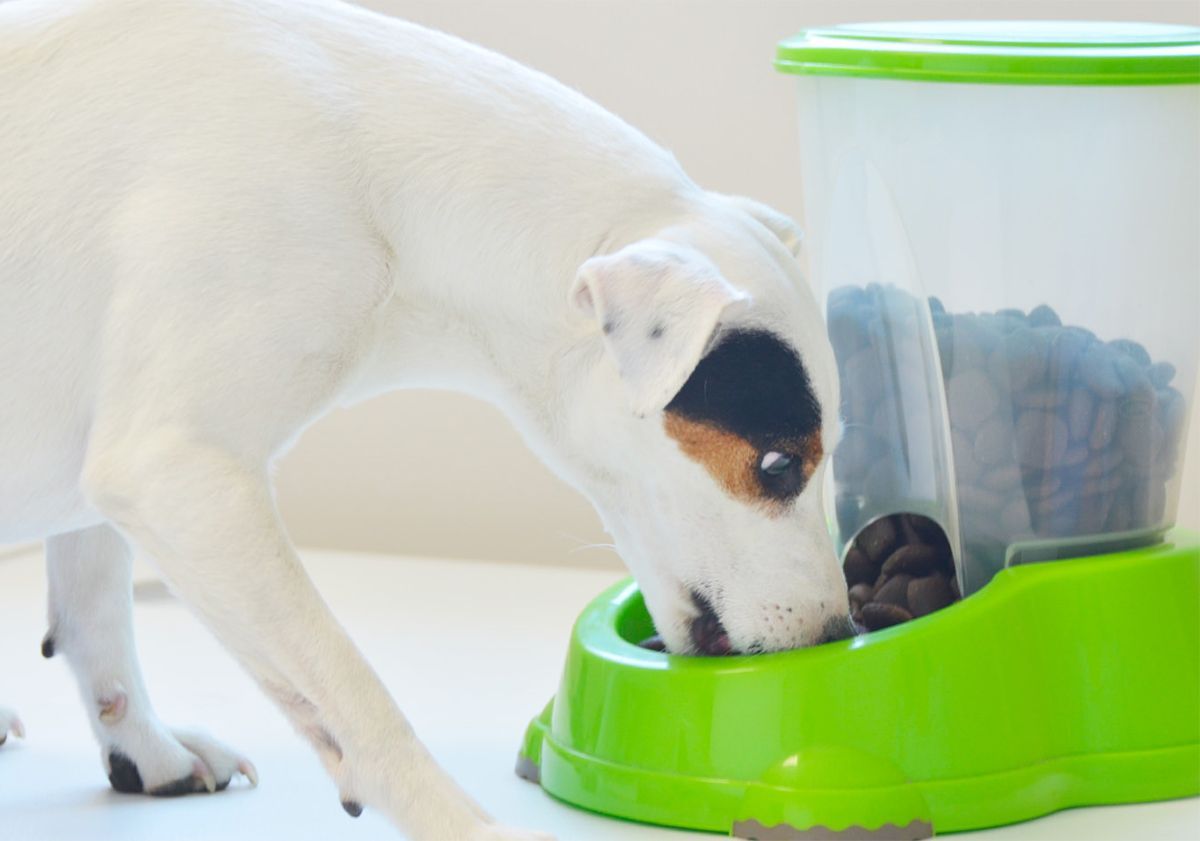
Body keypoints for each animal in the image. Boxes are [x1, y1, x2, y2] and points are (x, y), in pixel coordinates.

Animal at [0, 0, 849, 835]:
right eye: (778, 465)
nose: (839, 633)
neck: (382, 185)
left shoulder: (117, 472)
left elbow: (94, 611)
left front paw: (146, 749)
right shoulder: (182, 474)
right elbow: (354, 696)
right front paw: (459, 821)